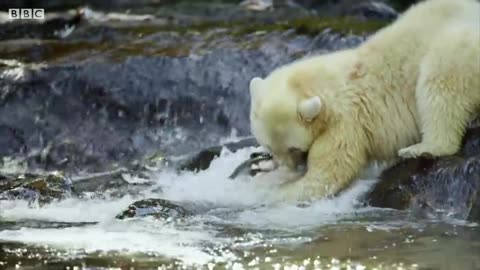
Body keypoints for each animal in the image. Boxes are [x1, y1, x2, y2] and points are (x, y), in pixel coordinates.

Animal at [251, 0, 480, 201]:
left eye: (293, 148)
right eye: (269, 146)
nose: (287, 166)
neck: (316, 82)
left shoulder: (344, 121)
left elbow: (329, 173)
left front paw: (270, 188)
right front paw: (264, 164)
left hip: (460, 49)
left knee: (440, 79)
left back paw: (422, 148)